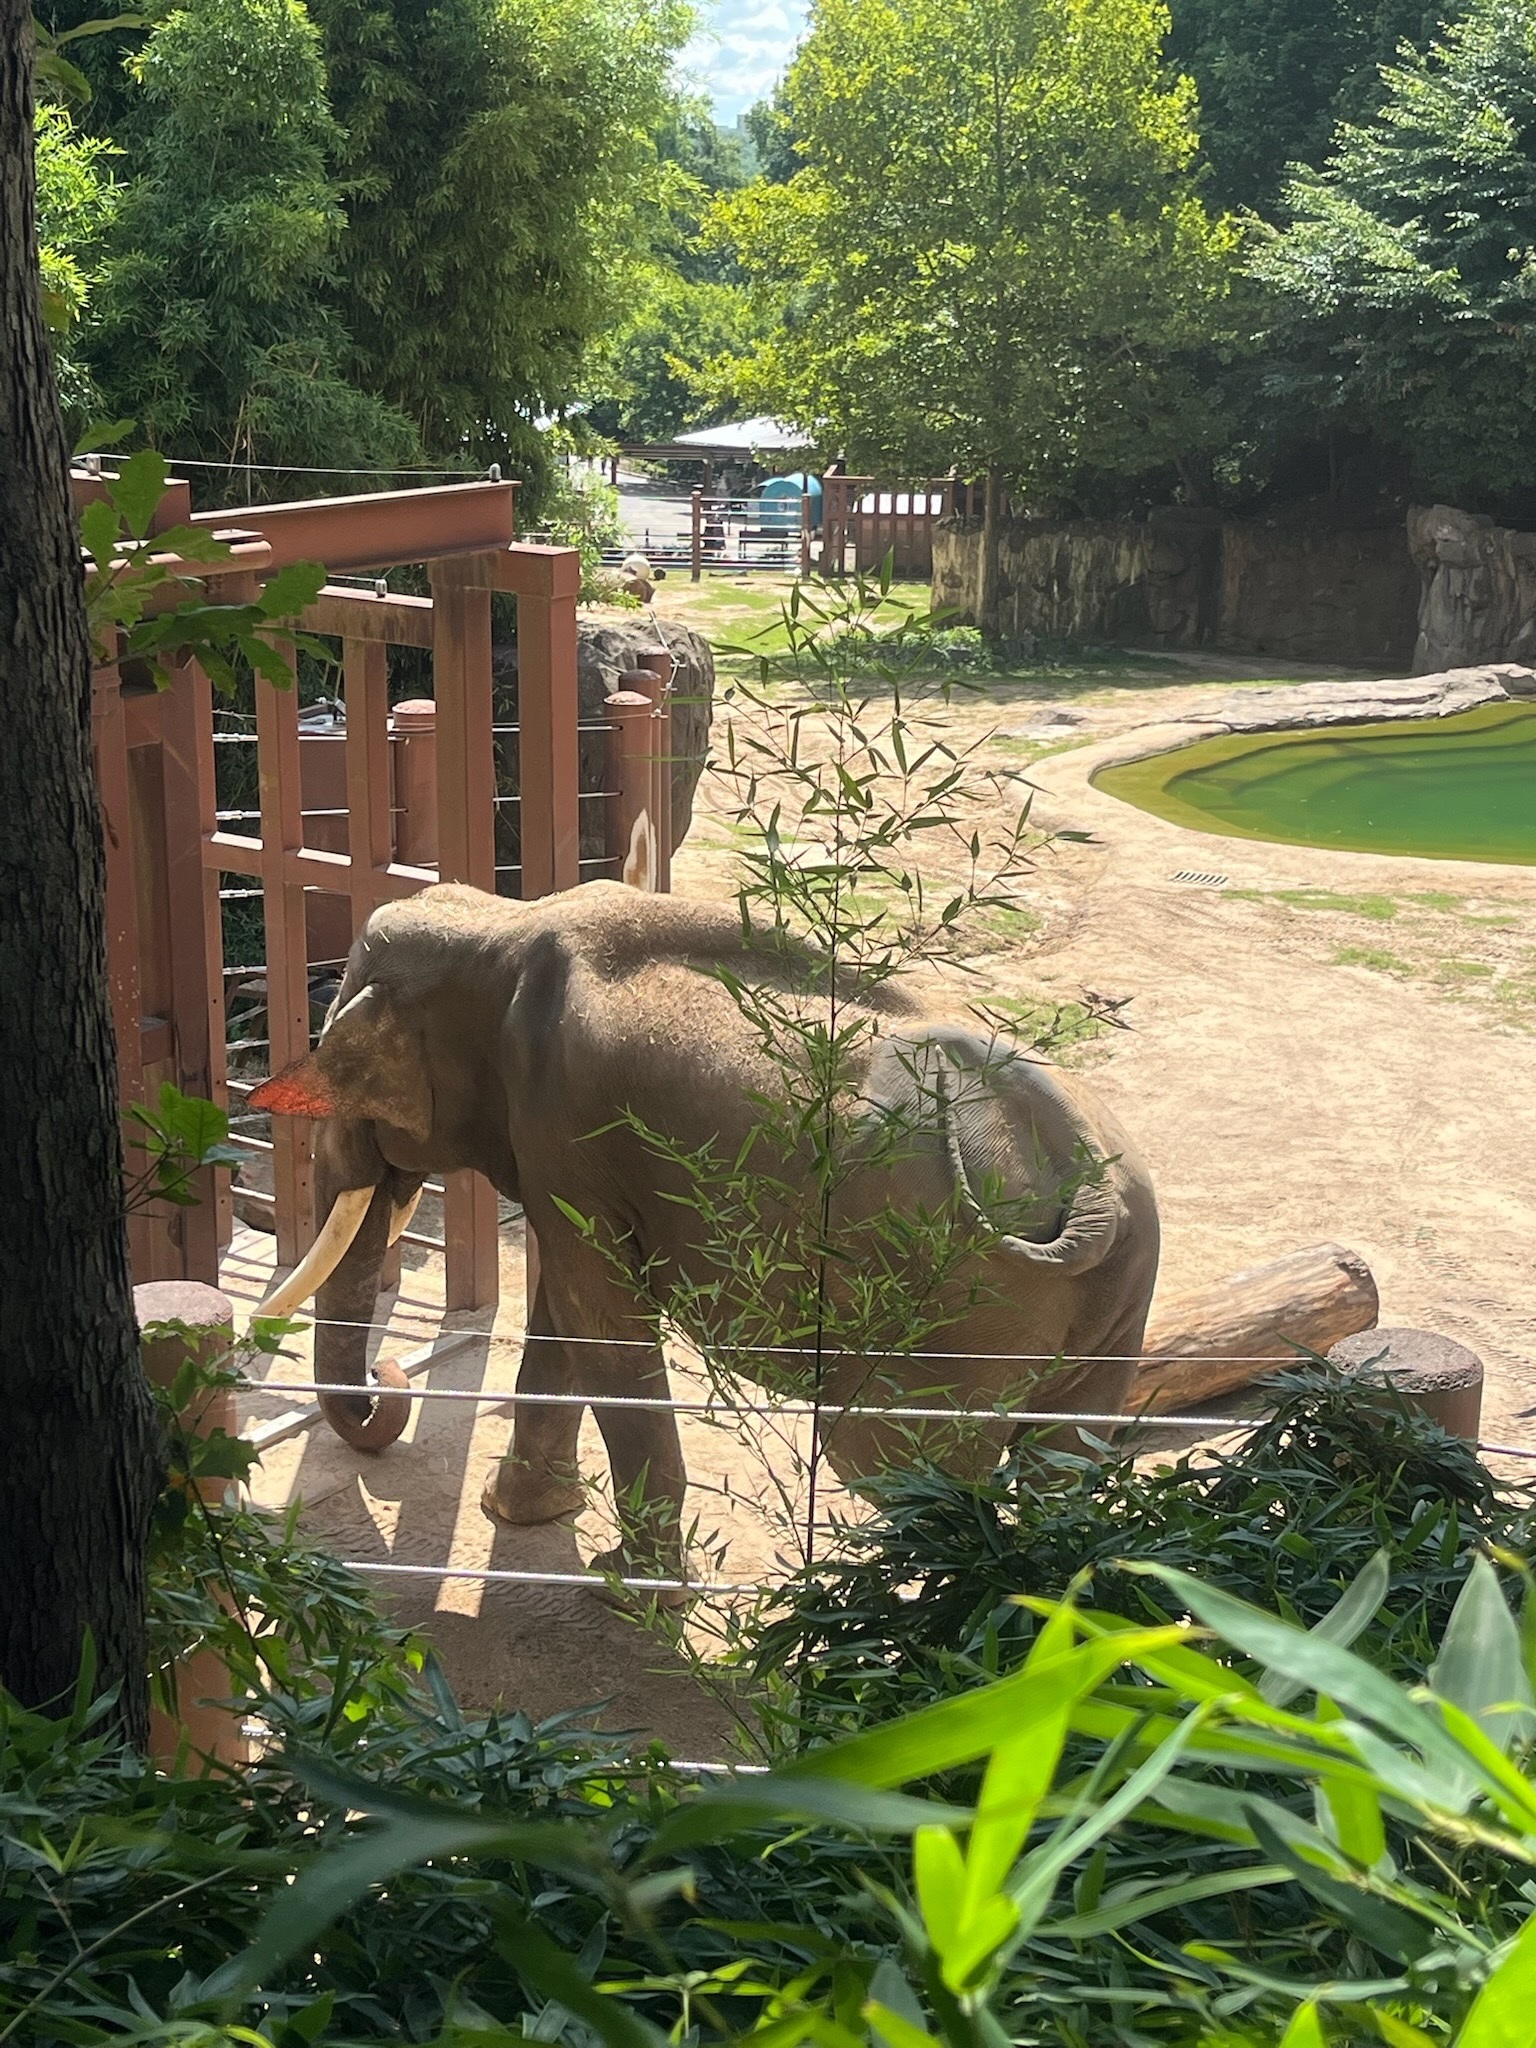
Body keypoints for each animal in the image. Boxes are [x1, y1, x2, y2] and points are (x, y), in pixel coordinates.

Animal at [250, 880, 1159, 1580]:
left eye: (344, 1079)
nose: (390, 1381)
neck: (501, 921)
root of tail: (1088, 1180)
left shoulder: (560, 1116)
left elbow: (600, 1322)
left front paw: (627, 1586)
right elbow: (567, 1309)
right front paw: (523, 1512)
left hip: (953, 1315)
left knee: (899, 1467)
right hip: (1113, 1298)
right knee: (1060, 1464)